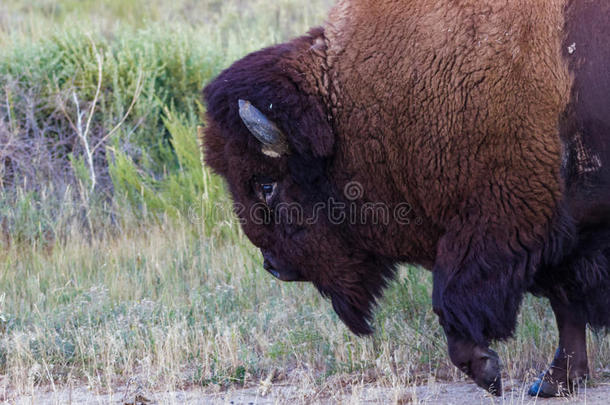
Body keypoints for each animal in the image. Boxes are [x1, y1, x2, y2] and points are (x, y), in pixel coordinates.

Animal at [202, 0, 608, 396]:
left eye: (266, 185)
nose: (272, 266)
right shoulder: (565, 232)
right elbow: (566, 302)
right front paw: (553, 382)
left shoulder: (503, 221)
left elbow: (454, 298)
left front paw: (487, 371)